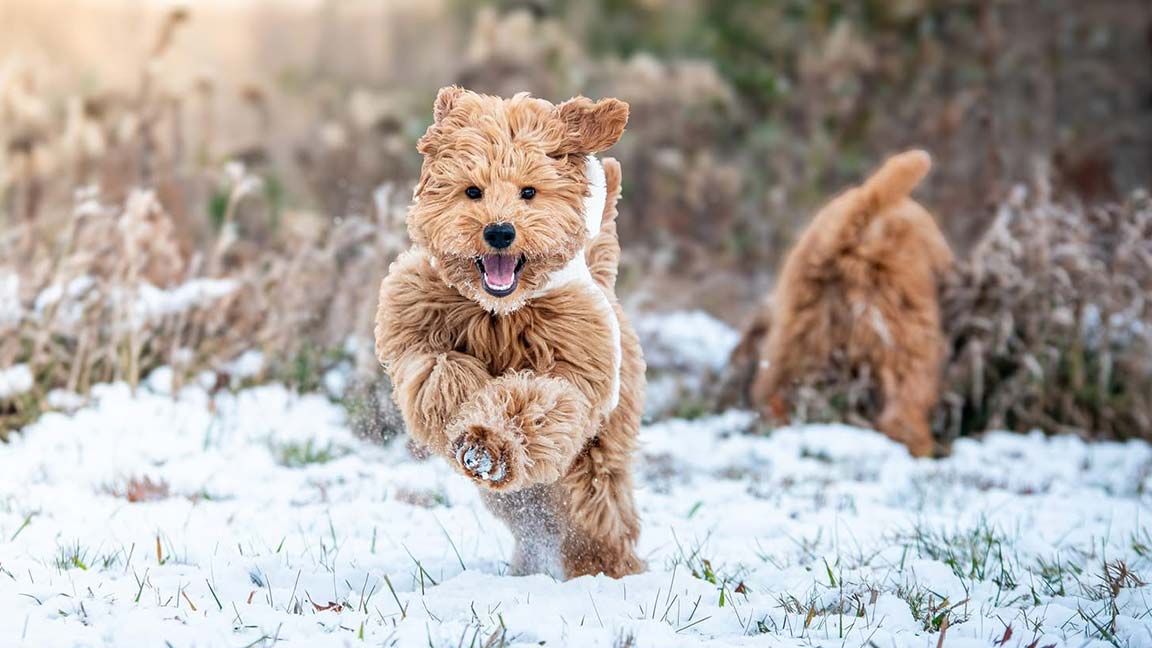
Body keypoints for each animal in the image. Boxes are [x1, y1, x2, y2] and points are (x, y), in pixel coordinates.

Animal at [377, 85, 649, 574]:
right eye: (472, 190)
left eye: (529, 191)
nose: (500, 232)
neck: (500, 314)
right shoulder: (415, 327)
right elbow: (441, 370)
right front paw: (466, 412)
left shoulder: (571, 370)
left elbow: (534, 401)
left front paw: (490, 442)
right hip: (520, 500)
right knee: (533, 519)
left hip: (598, 452)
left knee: (600, 511)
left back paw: (607, 568)